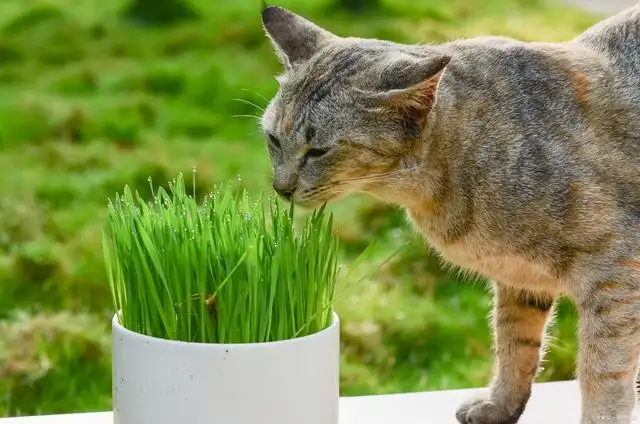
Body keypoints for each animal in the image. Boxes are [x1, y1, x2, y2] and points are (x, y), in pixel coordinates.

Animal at [258, 4, 640, 424]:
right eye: (273, 139)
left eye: (318, 151)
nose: (281, 188)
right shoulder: (521, 278)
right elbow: (514, 345)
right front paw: (500, 405)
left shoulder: (614, 276)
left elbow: (602, 373)